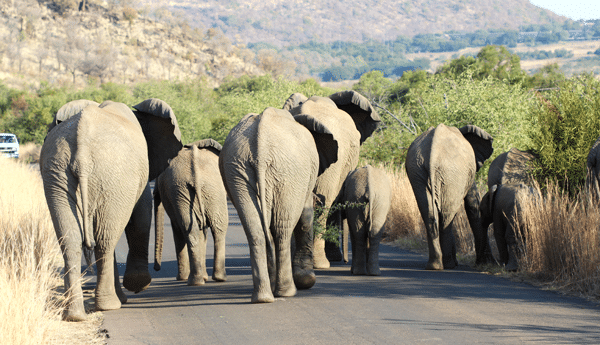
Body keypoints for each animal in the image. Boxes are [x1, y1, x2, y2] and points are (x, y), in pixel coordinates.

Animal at [39, 97, 182, 320]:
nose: (158, 267)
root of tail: (82, 150)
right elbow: (141, 215)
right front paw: (138, 284)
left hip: (57, 173)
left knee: (72, 239)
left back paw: (74, 315)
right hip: (115, 175)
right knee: (105, 240)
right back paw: (109, 305)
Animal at [154, 137, 229, 284]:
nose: (156, 268)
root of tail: (196, 174)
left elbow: (178, 229)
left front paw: (181, 278)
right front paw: (203, 277)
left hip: (190, 190)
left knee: (192, 230)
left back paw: (196, 280)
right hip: (203, 189)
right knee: (215, 228)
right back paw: (210, 279)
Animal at [220, 107, 338, 300]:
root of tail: (260, 149)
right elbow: (305, 219)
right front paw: (306, 280)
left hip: (237, 170)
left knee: (256, 230)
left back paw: (263, 297)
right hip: (289, 173)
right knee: (283, 229)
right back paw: (287, 292)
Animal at [406, 123, 494, 268]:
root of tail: (433, 153)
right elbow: (473, 205)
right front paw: (487, 263)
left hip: (417, 170)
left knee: (429, 214)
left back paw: (435, 265)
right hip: (452, 172)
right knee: (447, 215)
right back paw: (449, 265)